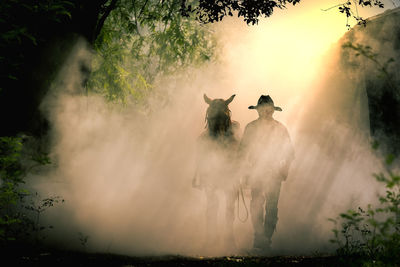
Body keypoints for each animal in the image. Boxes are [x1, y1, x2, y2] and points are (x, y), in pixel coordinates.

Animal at [192, 93, 239, 253]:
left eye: (226, 115)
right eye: (209, 116)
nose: (216, 143)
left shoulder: (231, 186)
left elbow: (229, 212)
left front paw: (230, 242)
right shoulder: (209, 186)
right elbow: (211, 211)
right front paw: (210, 241)